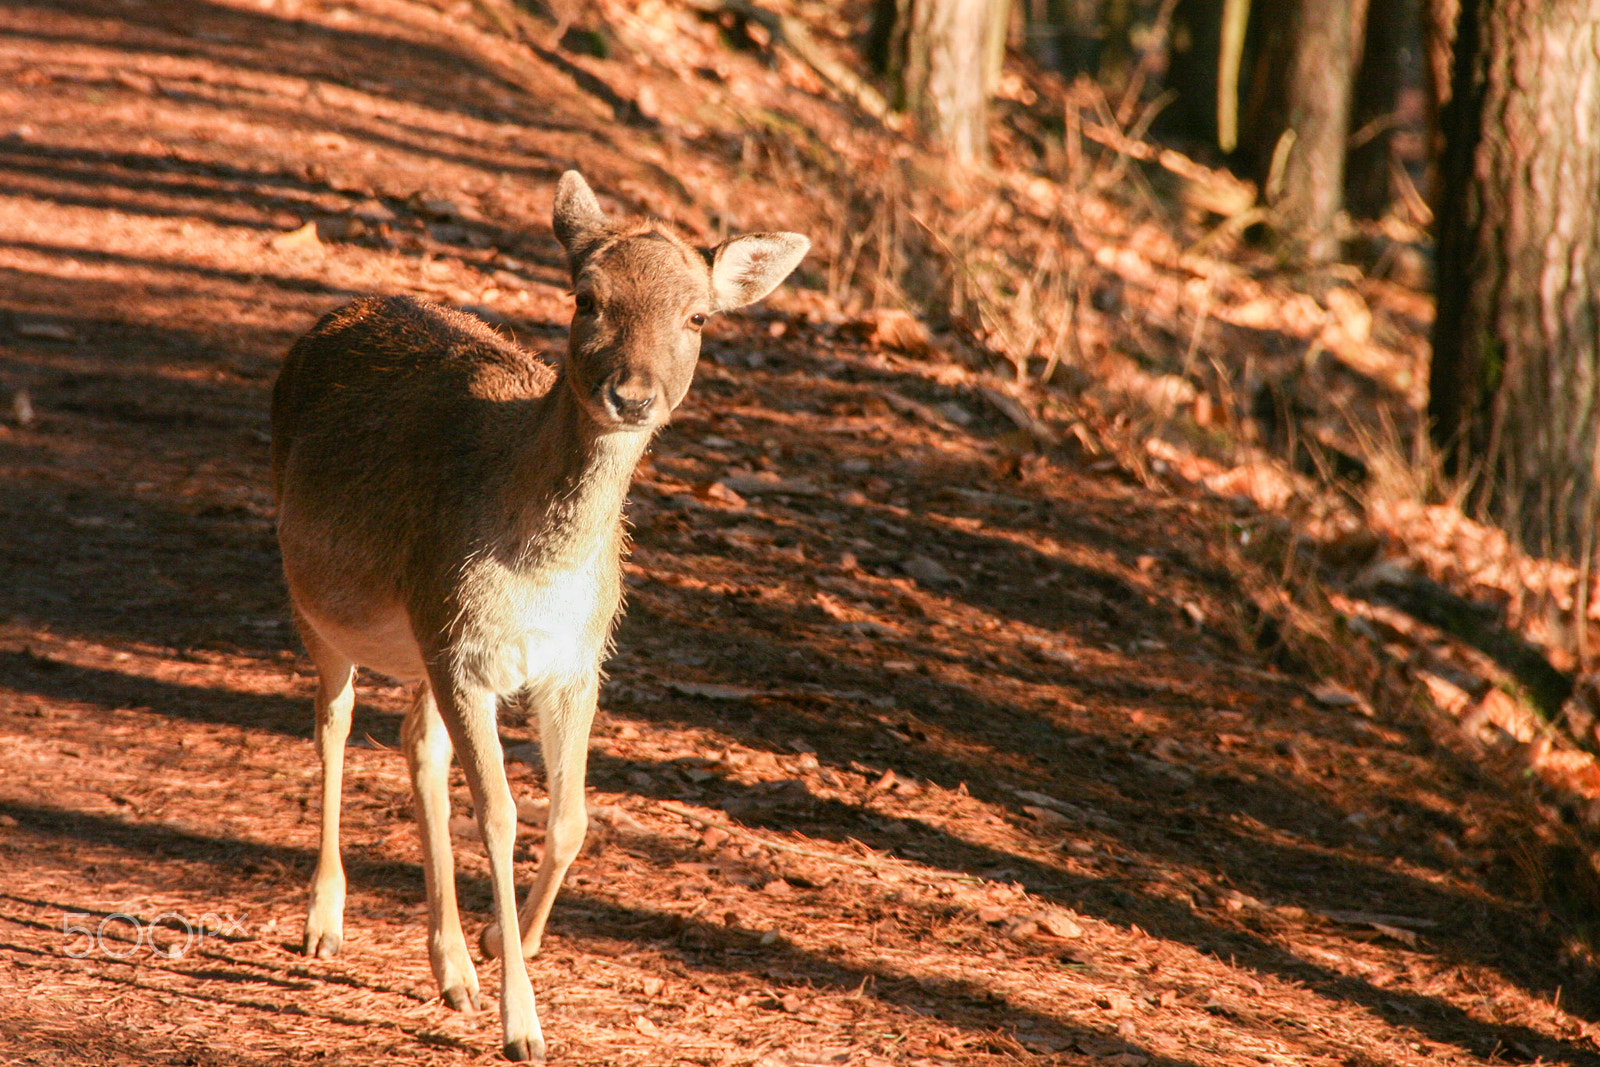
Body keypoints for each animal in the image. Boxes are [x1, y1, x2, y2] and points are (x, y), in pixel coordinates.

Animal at [270, 170, 809, 1061]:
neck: (539, 573)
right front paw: (522, 1024)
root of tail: (333, 316)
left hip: (422, 644)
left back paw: (452, 965)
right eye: (587, 296)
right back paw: (325, 921)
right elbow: (499, 814)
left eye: (698, 317)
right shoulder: (461, 648)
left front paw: (500, 942)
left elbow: (571, 820)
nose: (632, 394)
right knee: (334, 721)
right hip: (314, 597)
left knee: (418, 745)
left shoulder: (573, 662)